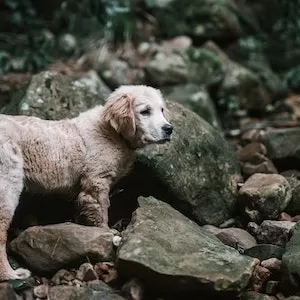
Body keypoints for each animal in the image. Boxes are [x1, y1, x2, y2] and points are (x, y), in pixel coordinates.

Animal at [0, 85, 173, 282]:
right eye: (145, 111)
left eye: (161, 110)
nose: (169, 129)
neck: (112, 132)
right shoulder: (96, 181)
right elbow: (101, 214)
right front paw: (108, 236)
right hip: (8, 184)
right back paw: (10, 274)